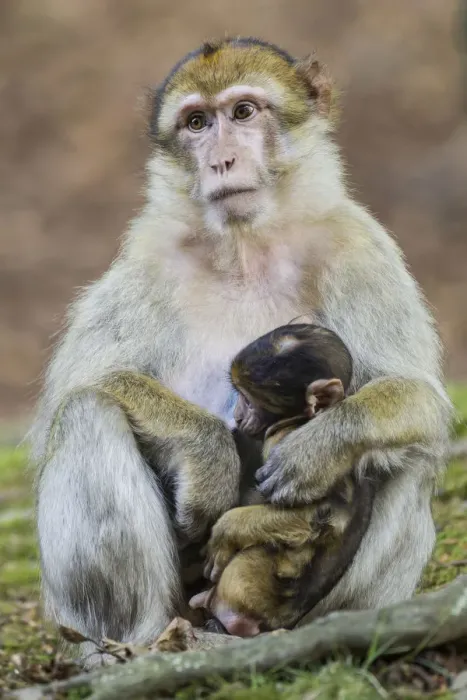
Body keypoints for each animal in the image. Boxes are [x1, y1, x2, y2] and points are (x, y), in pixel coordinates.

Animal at [188, 323, 375, 636]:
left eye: (250, 399)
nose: (238, 415)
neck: (302, 420)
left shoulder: (283, 441)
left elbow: (312, 515)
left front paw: (224, 531)